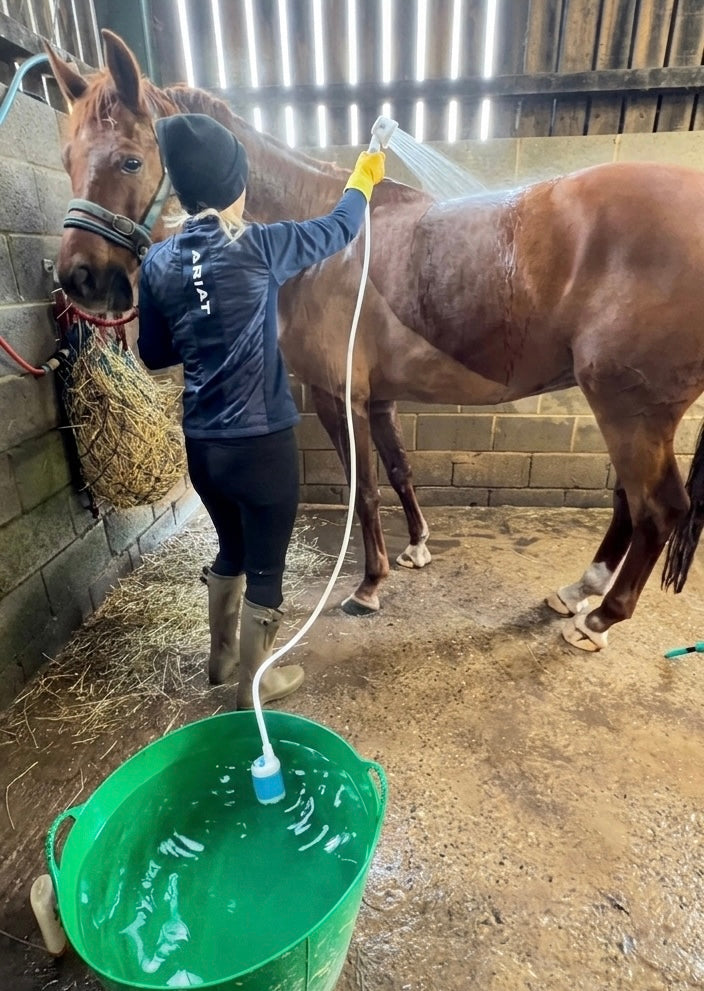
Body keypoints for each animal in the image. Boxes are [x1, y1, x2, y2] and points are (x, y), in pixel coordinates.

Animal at [45, 29, 704, 653]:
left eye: (130, 162)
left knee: (658, 509)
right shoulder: (381, 398)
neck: (320, 238)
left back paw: (598, 619)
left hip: (631, 409)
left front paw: (369, 585)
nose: (82, 279)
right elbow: (400, 471)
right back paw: (578, 592)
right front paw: (416, 549)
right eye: (68, 157)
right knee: (628, 502)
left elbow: (363, 491)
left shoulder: (341, 399)